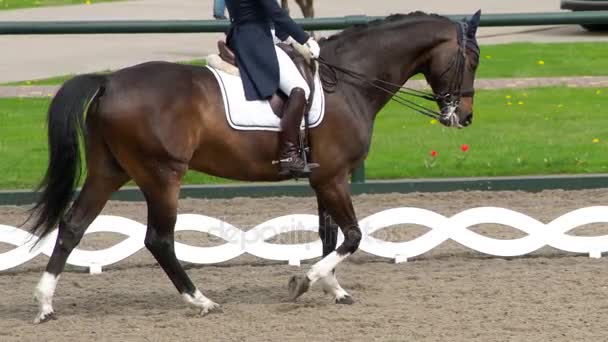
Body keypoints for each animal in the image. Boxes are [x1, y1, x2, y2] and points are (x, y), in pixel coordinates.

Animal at [28, 9, 482, 322]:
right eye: (473, 59)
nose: (464, 117)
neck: (350, 82)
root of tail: (108, 80)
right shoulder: (334, 178)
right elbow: (352, 236)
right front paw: (304, 282)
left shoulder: (323, 177)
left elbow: (329, 235)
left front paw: (333, 288)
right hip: (162, 175)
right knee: (158, 239)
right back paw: (201, 301)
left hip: (110, 170)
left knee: (73, 225)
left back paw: (45, 303)